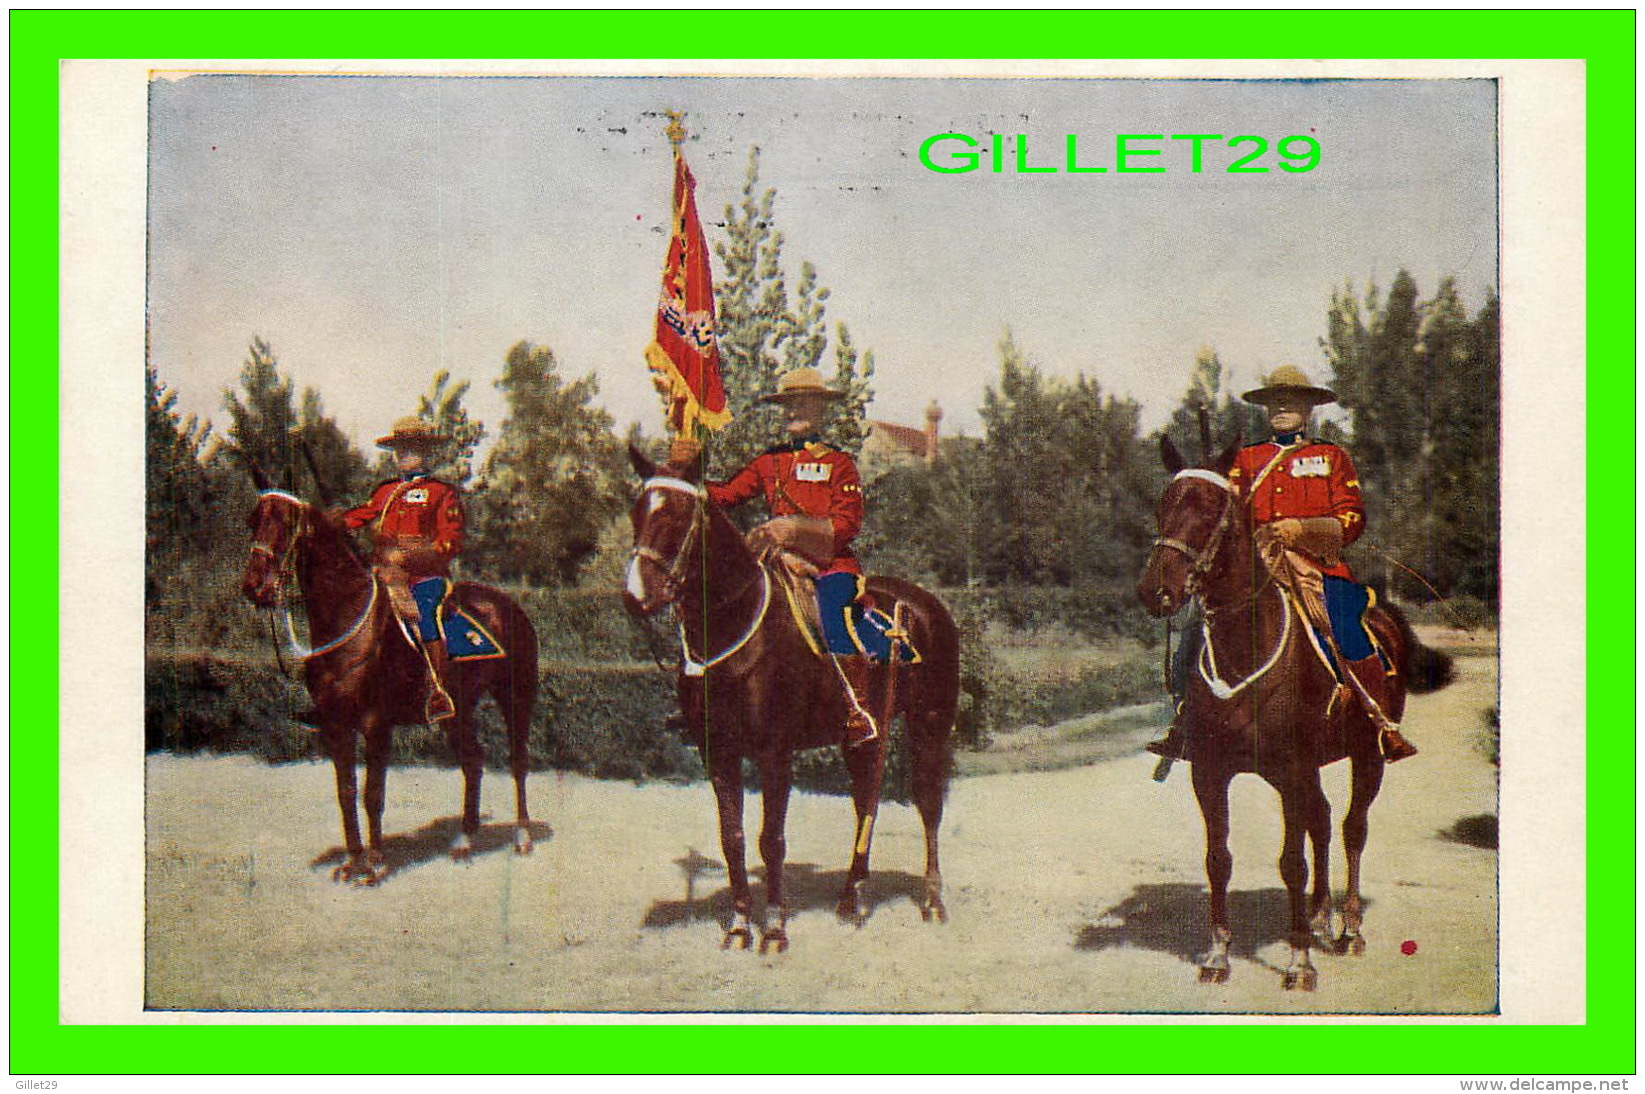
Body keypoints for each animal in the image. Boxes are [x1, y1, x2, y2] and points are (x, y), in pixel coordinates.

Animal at [238, 463, 539, 881]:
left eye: (284, 522)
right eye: (253, 521)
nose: (254, 586)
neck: (347, 620)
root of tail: (509, 605)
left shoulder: (375, 724)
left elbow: (372, 794)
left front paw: (375, 863)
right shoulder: (336, 724)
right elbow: (346, 792)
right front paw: (352, 861)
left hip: (516, 697)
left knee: (517, 761)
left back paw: (522, 836)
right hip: (457, 711)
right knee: (473, 761)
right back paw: (464, 841)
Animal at [628, 447, 960, 954]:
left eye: (678, 516)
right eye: (636, 512)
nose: (635, 596)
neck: (738, 627)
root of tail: (928, 605)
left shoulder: (774, 753)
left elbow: (772, 840)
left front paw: (774, 929)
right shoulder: (718, 752)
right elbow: (732, 837)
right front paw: (740, 926)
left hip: (931, 722)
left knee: (927, 803)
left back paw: (933, 900)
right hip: (861, 738)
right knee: (865, 800)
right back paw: (851, 898)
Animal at [1138, 437, 1447, 987]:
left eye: (1213, 509)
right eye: (1163, 505)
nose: (1156, 591)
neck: (1244, 646)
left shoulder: (1292, 768)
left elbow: (1291, 863)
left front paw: (1298, 962)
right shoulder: (1211, 772)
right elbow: (1218, 859)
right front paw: (1217, 955)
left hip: (1366, 757)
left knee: (1351, 829)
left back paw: (1349, 929)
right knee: (1321, 821)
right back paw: (1322, 917)